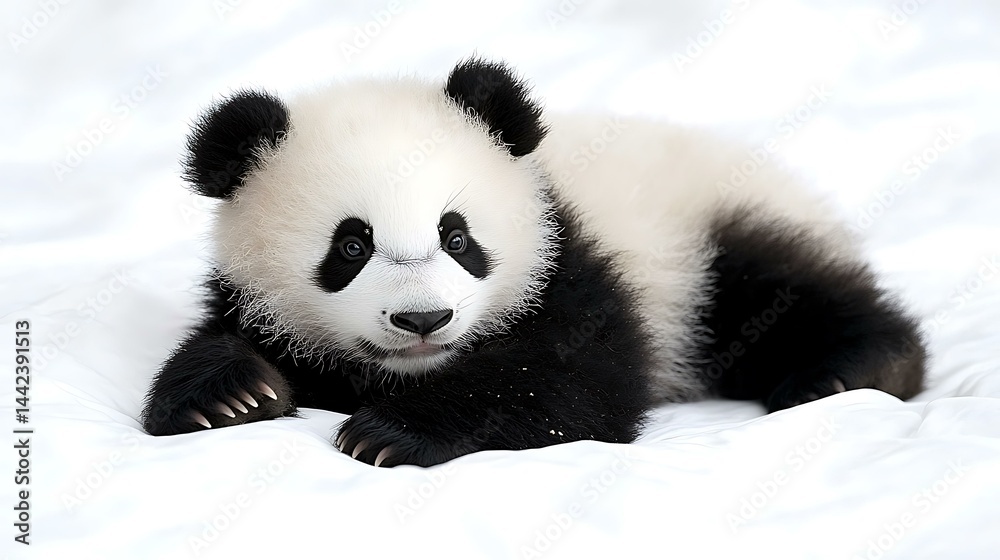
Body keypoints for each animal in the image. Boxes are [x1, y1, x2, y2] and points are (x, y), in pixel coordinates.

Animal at [142, 58, 926, 467]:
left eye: (457, 237)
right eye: (351, 246)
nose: (423, 319)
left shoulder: (573, 265)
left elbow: (570, 382)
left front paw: (388, 433)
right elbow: (227, 338)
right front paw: (231, 393)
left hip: (708, 239)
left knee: (784, 293)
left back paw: (854, 368)